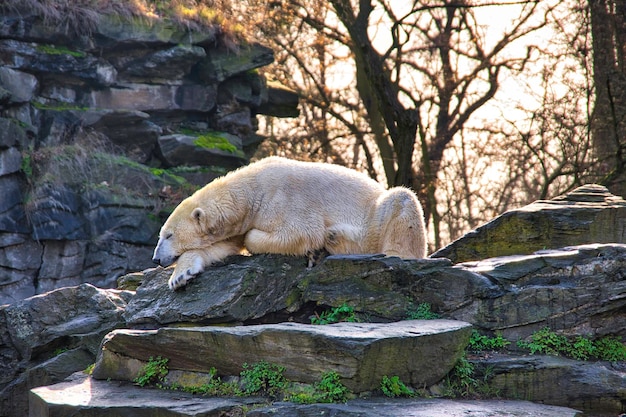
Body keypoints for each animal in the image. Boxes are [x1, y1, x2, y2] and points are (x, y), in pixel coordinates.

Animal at [152, 156, 426, 290]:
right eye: (161, 235)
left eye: (169, 235)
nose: (156, 259)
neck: (251, 190)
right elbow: (222, 246)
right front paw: (180, 276)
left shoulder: (285, 199)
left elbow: (300, 233)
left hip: (373, 220)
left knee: (401, 199)